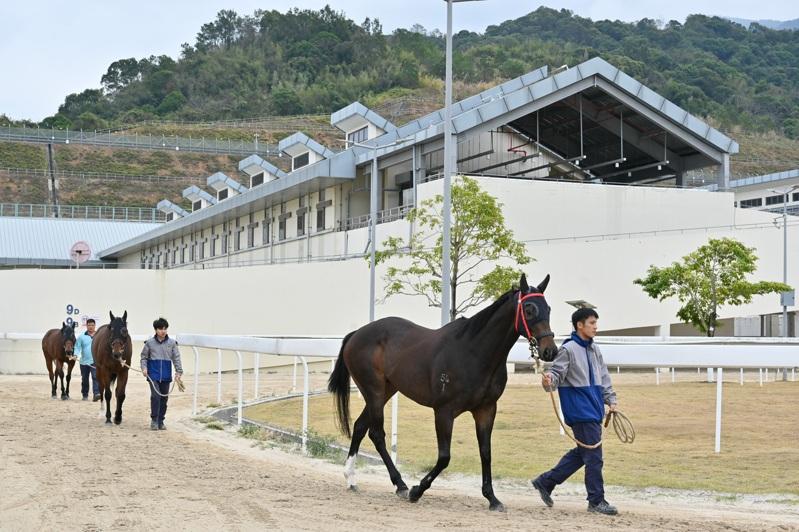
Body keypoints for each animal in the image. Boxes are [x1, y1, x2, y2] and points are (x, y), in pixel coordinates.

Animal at [328, 273, 558, 511]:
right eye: (529, 309)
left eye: (548, 308)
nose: (550, 351)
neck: (473, 352)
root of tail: (357, 334)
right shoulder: (444, 411)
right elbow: (444, 457)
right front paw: (417, 491)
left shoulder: (486, 409)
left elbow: (486, 452)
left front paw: (492, 498)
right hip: (373, 391)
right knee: (376, 434)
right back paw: (401, 485)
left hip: (385, 391)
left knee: (360, 426)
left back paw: (351, 478)